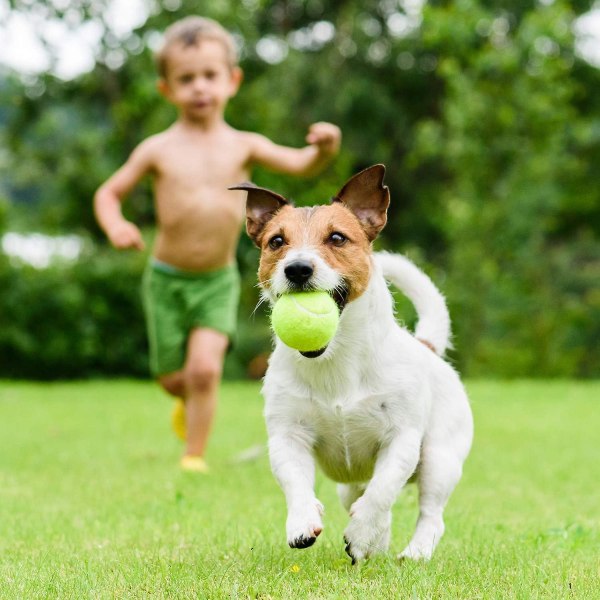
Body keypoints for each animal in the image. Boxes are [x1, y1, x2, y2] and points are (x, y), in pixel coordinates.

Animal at [232, 165, 472, 564]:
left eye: (337, 238)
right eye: (276, 241)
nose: (298, 268)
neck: (335, 360)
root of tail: (427, 346)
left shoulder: (402, 439)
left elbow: (382, 491)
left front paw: (361, 533)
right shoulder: (287, 435)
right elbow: (295, 482)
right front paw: (303, 523)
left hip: (440, 458)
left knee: (429, 513)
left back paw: (412, 551)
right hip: (353, 482)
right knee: (363, 496)